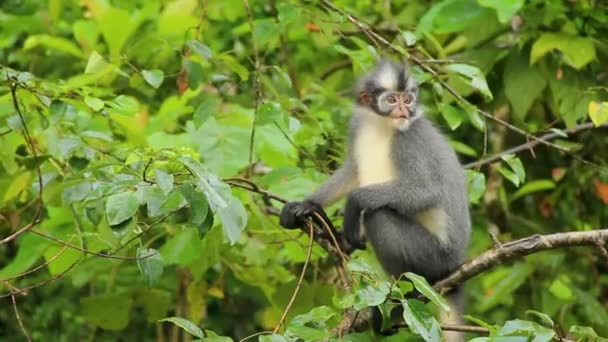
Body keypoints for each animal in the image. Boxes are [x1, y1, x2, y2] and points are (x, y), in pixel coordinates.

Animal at [280, 59, 470, 336]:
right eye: (391, 100)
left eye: (408, 99)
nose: (403, 109)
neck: (383, 127)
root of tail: (457, 261)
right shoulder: (358, 125)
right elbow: (352, 170)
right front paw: (307, 204)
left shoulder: (409, 140)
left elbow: (427, 191)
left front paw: (353, 203)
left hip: (436, 256)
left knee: (378, 215)